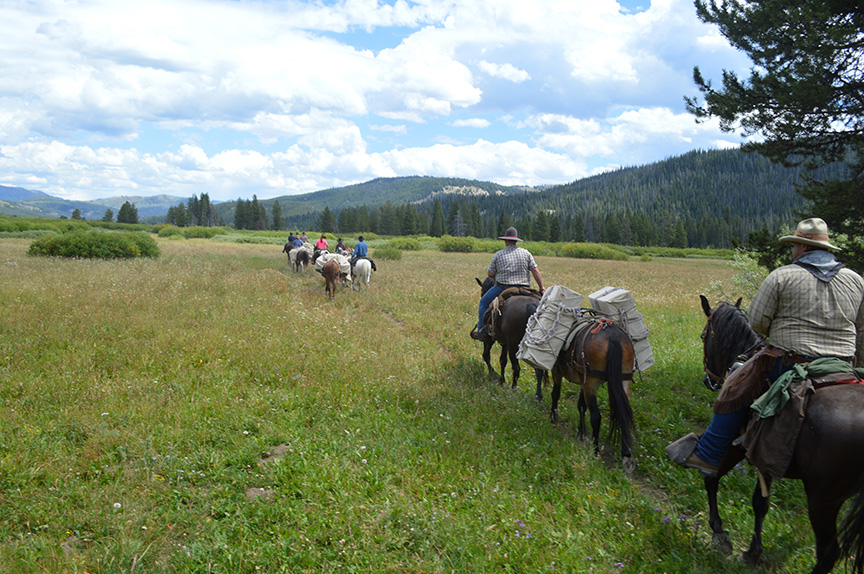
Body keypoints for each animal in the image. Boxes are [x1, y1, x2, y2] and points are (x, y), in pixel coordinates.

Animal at [552, 316, 636, 472]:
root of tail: (612, 336)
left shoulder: (558, 370)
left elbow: (556, 394)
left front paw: (553, 417)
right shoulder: (583, 382)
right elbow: (581, 405)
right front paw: (581, 432)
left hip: (592, 383)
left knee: (596, 417)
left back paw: (595, 450)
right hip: (623, 380)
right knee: (624, 414)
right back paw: (626, 453)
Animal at [700, 296, 864, 574]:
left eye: (703, 336)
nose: (708, 380)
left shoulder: (736, 445)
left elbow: (711, 477)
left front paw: (719, 533)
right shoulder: (764, 455)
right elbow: (760, 503)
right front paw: (753, 553)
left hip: (823, 500)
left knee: (829, 551)